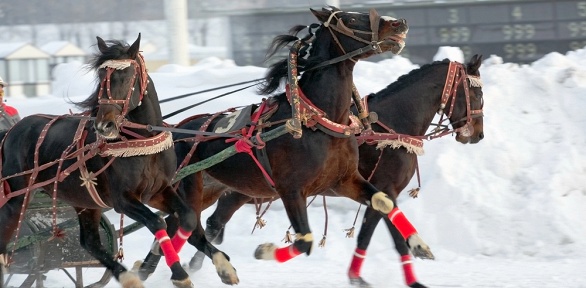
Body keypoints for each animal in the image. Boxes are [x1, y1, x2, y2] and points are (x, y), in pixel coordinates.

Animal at [0, 34, 196, 288]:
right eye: (102, 77)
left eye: (127, 76)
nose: (104, 125)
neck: (143, 144)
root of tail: (11, 131)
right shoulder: (123, 200)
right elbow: (157, 223)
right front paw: (177, 271)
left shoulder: (158, 191)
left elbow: (188, 217)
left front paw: (168, 264)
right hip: (16, 198)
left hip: (85, 200)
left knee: (90, 242)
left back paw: (125, 275)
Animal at [137, 5, 424, 286]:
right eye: (351, 18)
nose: (399, 23)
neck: (316, 120)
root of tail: (173, 133)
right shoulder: (291, 190)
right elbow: (305, 240)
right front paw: (264, 251)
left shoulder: (344, 181)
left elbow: (383, 202)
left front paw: (419, 244)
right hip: (188, 187)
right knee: (187, 225)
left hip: (208, 189)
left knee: (179, 224)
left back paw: (152, 268)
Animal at [187, 54, 484, 288]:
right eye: (478, 94)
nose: (478, 134)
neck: (390, 127)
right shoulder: (386, 187)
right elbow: (389, 236)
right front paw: (411, 267)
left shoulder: (377, 191)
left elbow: (368, 233)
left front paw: (360, 275)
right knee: (211, 221)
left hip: (242, 189)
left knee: (214, 221)